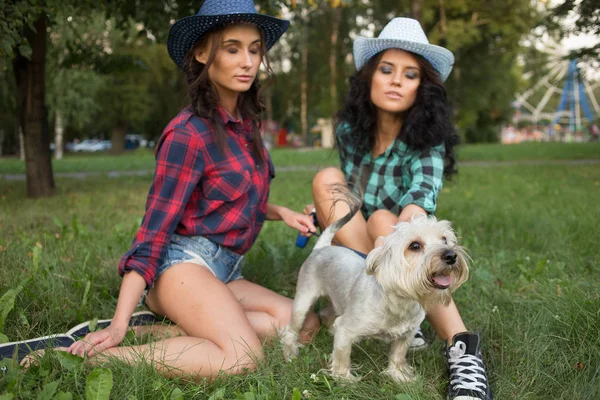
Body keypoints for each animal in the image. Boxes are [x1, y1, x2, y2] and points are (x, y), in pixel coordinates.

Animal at [280, 194, 468, 384]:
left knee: (326, 313)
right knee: (291, 330)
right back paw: (290, 354)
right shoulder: (345, 330)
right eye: (415, 246)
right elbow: (342, 356)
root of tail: (323, 247)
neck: (399, 302)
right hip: (303, 302)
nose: (451, 255)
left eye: (444, 239)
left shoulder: (406, 336)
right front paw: (344, 379)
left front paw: (399, 376)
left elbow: (398, 356)